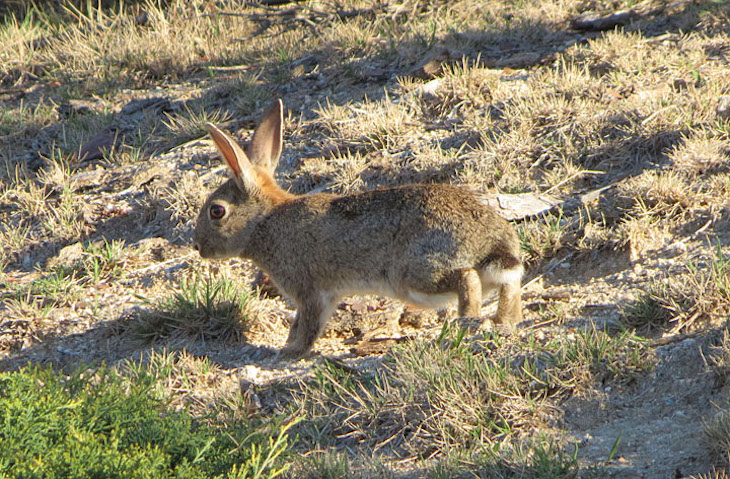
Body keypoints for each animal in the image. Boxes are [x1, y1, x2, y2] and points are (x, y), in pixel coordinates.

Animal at [193, 99, 523, 359]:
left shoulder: (310, 290)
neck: (263, 221)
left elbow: (307, 325)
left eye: (216, 211)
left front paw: (291, 352)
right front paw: (288, 347)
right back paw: (506, 321)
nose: (198, 246)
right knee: (508, 284)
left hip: (415, 273)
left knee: (468, 278)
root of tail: (491, 241)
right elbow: (301, 323)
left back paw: (467, 320)